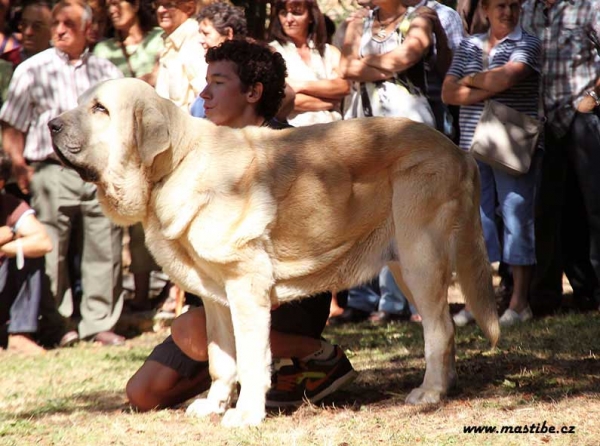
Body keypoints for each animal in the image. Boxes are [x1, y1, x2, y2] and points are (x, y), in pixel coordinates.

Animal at [49, 78, 500, 426]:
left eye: (100, 109)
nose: (51, 125)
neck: (174, 165)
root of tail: (459, 152)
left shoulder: (246, 288)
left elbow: (251, 359)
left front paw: (246, 414)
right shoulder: (217, 298)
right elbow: (220, 359)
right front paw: (214, 405)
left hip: (421, 257)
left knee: (440, 329)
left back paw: (430, 392)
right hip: (405, 265)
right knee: (442, 326)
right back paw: (445, 386)